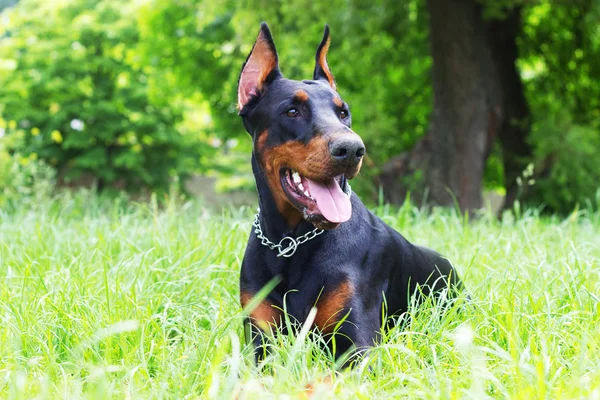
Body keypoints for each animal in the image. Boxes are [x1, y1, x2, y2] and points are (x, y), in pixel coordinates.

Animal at [238, 21, 464, 366]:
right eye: (292, 111)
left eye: (343, 113)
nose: (352, 149)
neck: (290, 243)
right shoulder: (261, 340)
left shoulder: (358, 346)